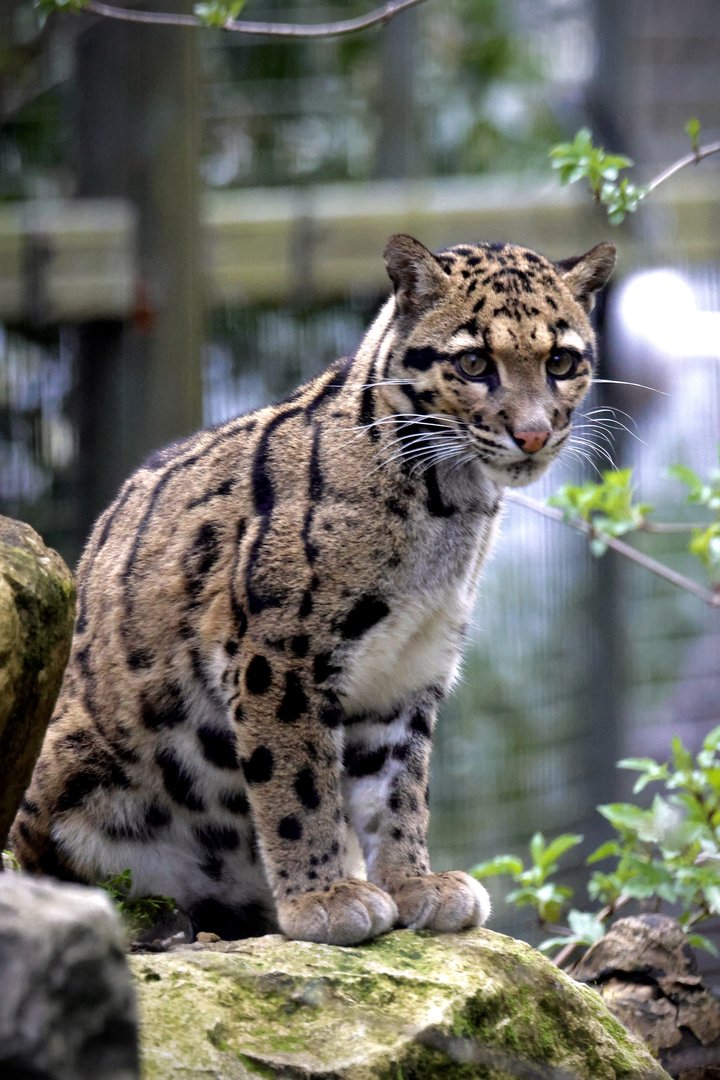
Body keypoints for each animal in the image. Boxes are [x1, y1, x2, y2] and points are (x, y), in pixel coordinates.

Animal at [11, 233, 615, 946]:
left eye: (561, 361)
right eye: (473, 362)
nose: (533, 434)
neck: (451, 506)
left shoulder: (410, 667)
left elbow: (399, 787)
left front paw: (413, 884)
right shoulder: (280, 656)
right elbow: (297, 783)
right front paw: (323, 898)